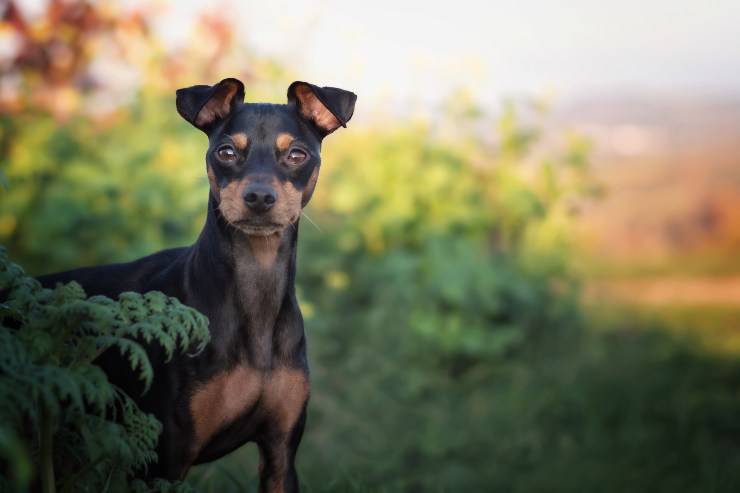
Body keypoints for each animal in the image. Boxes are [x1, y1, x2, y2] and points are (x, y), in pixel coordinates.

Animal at [37, 79, 356, 490]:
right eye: (226, 152)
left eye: (298, 155)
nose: (259, 197)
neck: (257, 292)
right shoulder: (165, 457)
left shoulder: (281, 452)